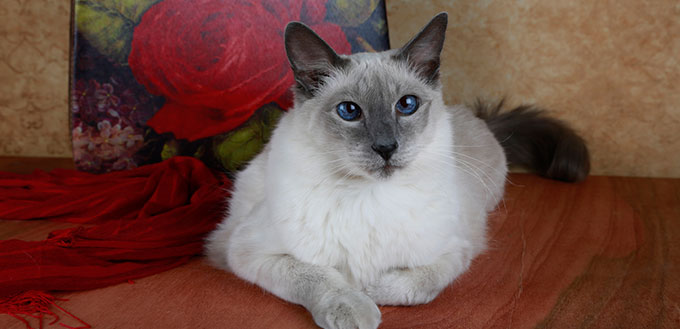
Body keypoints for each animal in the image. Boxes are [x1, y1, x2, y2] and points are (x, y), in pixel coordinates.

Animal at [205, 12, 588, 328]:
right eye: (349, 111)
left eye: (407, 105)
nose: (386, 148)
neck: (367, 196)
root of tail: (475, 115)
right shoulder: (245, 250)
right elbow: (319, 277)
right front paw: (354, 304)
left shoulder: (456, 249)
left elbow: (414, 286)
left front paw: (370, 289)